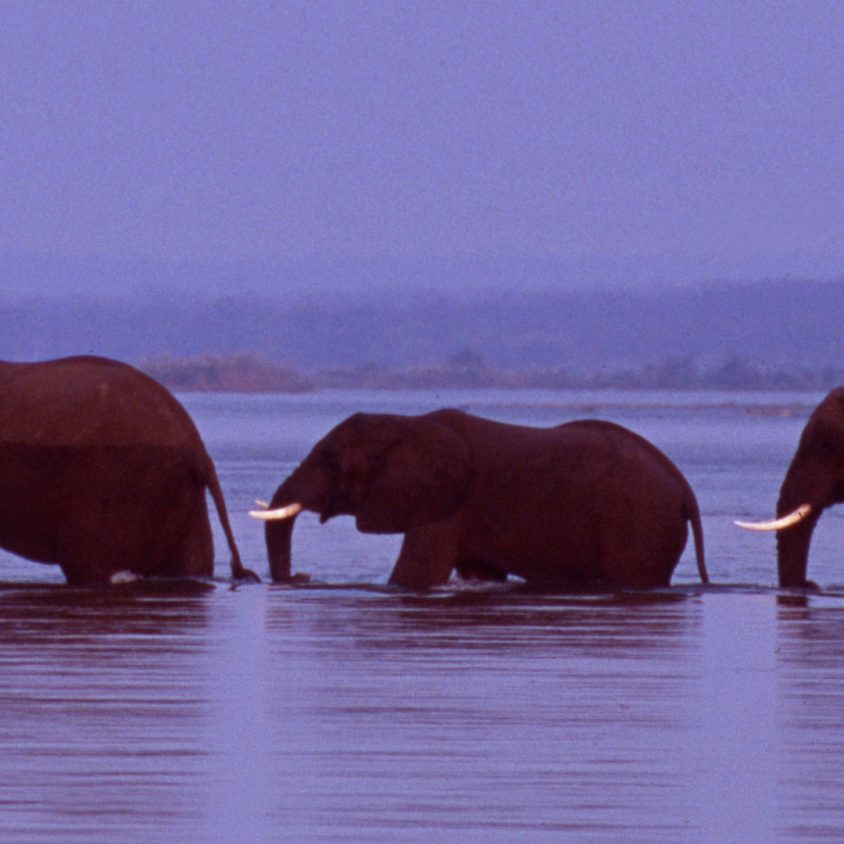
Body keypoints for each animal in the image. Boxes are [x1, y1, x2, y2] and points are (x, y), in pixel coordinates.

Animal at [254, 408, 708, 592]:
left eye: (330, 461)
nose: (301, 578)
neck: (406, 424)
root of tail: (684, 489)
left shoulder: (445, 506)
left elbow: (413, 576)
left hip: (641, 525)